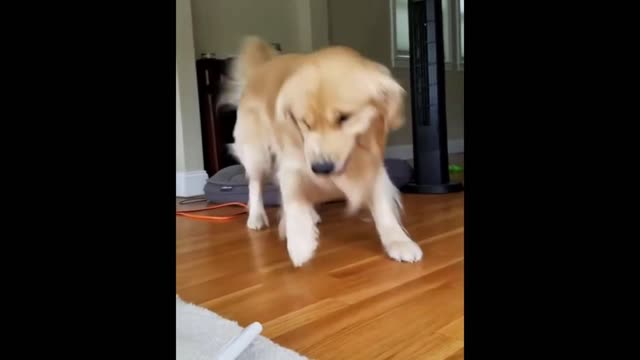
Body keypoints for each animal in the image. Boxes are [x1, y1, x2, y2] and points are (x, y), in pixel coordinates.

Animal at [222, 37, 422, 268]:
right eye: (305, 123)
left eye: (344, 118)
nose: (321, 168)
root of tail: (261, 68)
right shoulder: (293, 160)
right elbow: (293, 197)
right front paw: (300, 241)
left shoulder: (372, 160)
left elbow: (383, 207)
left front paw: (398, 240)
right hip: (257, 153)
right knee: (255, 184)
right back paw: (256, 217)